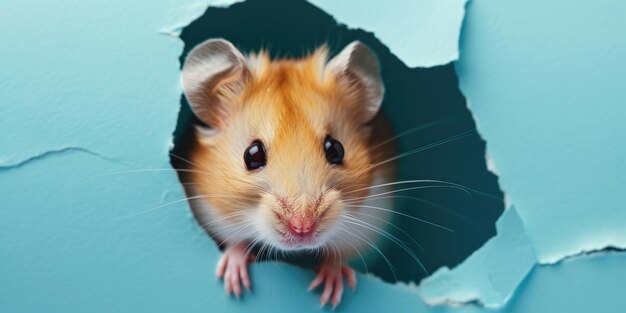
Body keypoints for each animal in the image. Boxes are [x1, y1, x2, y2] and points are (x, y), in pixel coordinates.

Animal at [178, 39, 394, 308]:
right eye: (252, 155)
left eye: (336, 149)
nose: (303, 229)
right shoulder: (211, 212)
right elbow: (235, 242)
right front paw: (235, 284)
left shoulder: (370, 223)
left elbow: (340, 256)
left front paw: (329, 293)